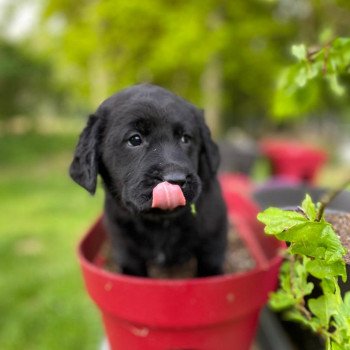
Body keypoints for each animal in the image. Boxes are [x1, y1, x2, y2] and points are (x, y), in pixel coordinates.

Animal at [70, 83, 228, 278]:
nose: (176, 179)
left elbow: (209, 270)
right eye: (135, 139)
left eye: (185, 138)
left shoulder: (214, 238)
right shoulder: (125, 247)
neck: (160, 223)